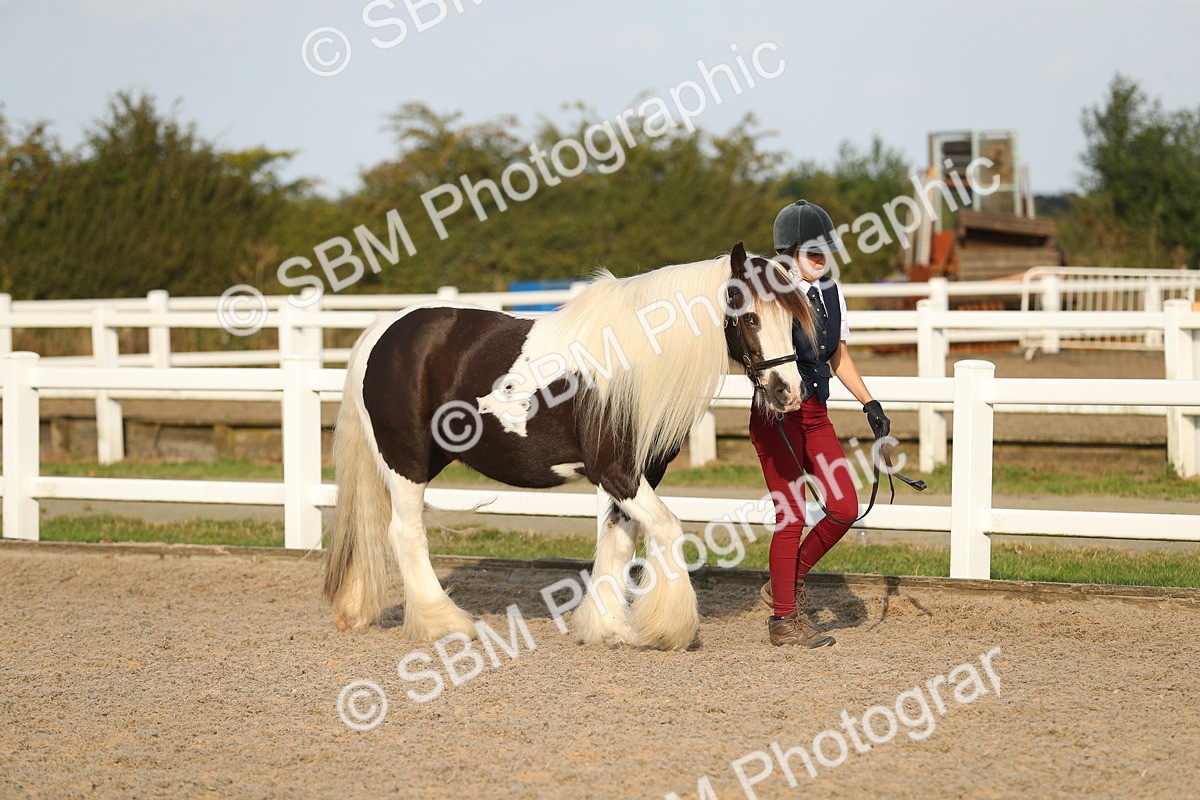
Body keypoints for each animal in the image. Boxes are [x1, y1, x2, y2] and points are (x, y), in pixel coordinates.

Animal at [322, 241, 817, 651]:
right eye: (750, 316)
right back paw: (445, 623)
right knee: (405, 534)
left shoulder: (639, 474)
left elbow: (618, 542)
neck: (633, 363)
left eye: (792, 318)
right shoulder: (614, 471)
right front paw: (669, 629)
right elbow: (666, 528)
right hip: (406, 462)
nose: (788, 392)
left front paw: (609, 628)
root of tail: (384, 330)